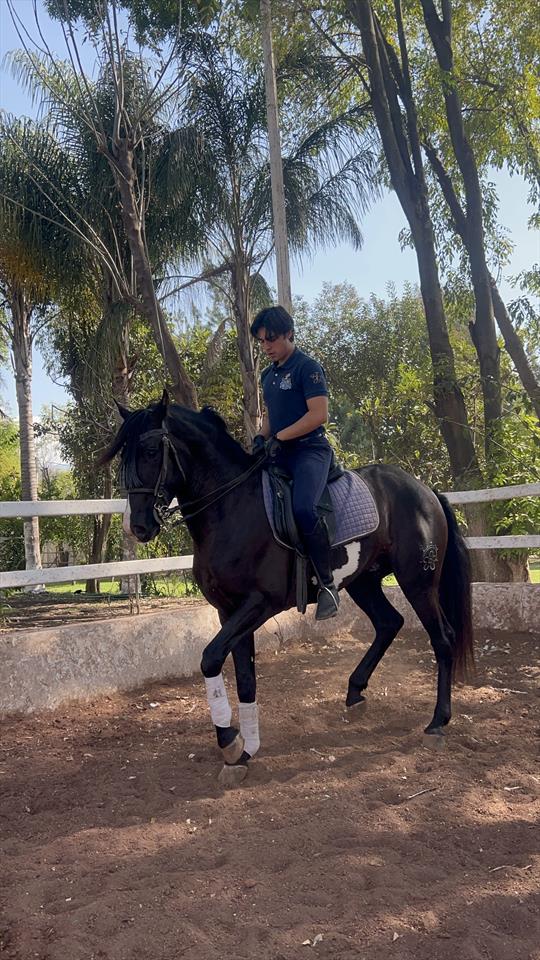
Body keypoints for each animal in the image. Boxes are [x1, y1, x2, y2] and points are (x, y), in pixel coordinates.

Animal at [102, 392, 473, 786]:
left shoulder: (258, 604)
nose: (137, 526)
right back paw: (355, 693)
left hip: (418, 582)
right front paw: (244, 752)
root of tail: (424, 489)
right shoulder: (228, 611)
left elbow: (210, 658)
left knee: (443, 639)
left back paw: (437, 723)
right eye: (123, 454)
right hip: (365, 582)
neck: (232, 507)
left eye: (150, 450)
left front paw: (230, 742)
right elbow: (245, 677)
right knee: (389, 624)